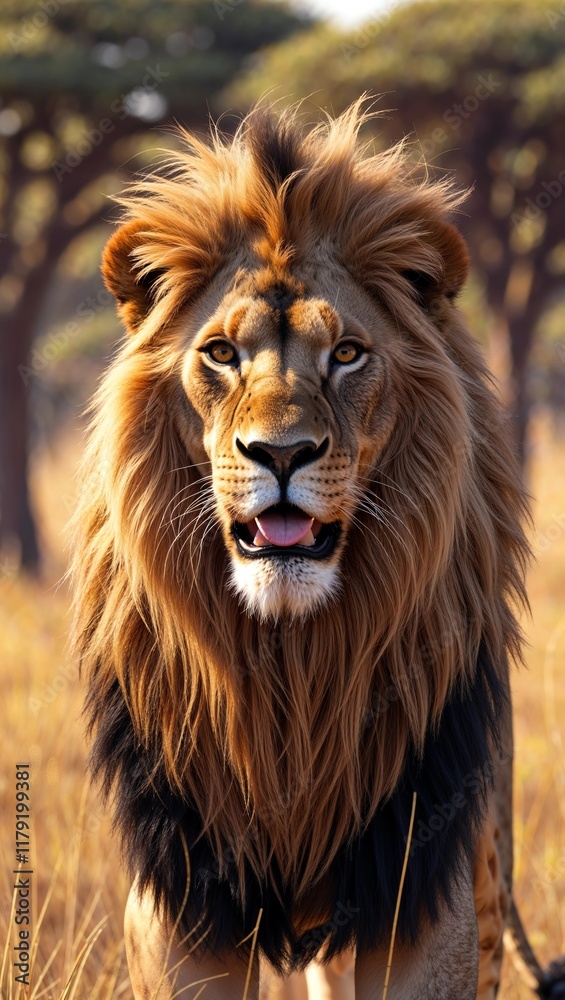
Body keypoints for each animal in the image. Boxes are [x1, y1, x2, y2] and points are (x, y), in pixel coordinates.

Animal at [71, 101, 565, 999]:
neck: (292, 669)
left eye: (346, 353)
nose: (281, 453)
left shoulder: (417, 878)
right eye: (220, 353)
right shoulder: (181, 894)